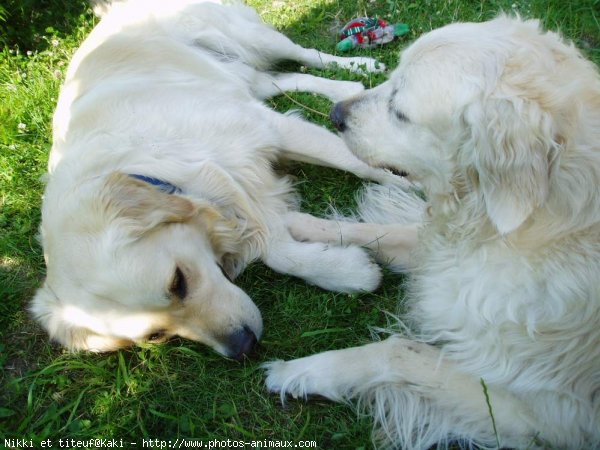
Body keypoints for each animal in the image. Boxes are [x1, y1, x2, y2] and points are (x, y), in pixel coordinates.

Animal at [29, 0, 394, 358]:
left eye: (178, 282)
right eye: (156, 335)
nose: (242, 347)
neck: (140, 162)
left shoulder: (263, 134)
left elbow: (359, 163)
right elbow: (275, 248)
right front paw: (343, 269)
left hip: (249, 35)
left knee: (304, 54)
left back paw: (356, 69)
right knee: (279, 78)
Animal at [266, 15, 600, 448]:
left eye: (401, 111)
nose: (336, 113)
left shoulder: (547, 415)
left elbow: (396, 350)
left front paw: (300, 370)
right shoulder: (443, 256)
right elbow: (374, 231)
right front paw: (300, 226)